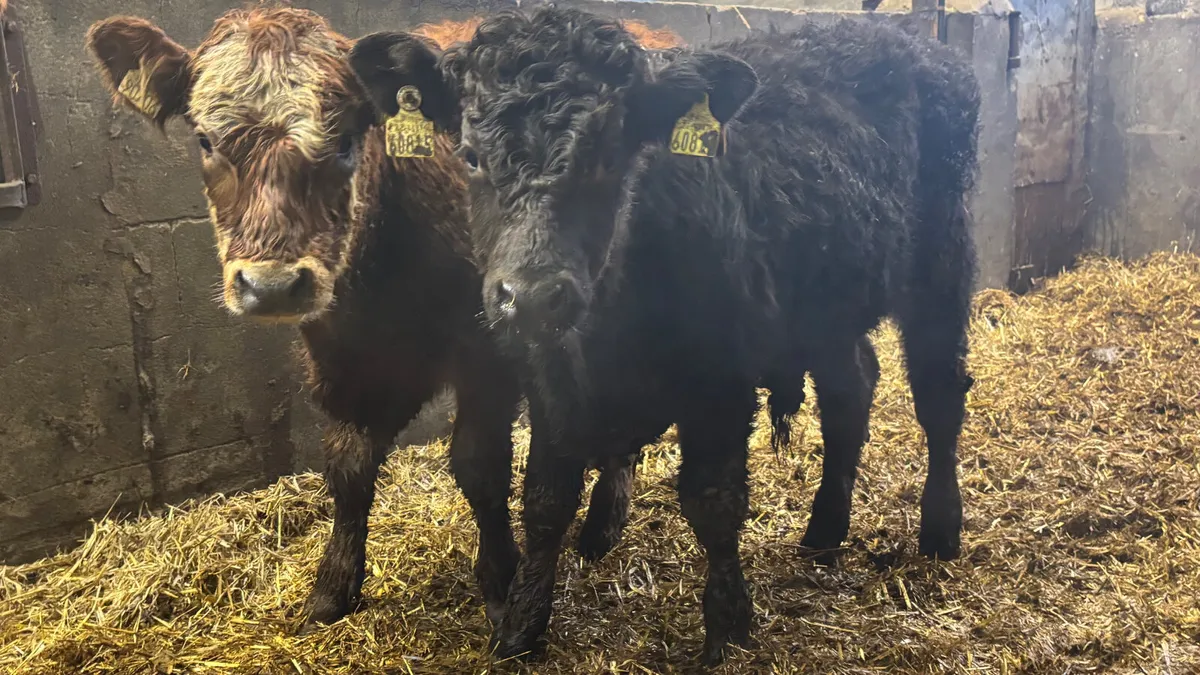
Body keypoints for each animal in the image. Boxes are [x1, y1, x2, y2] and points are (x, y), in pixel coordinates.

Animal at [84, 7, 675, 632]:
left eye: (346, 141)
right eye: (204, 140)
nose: (271, 285)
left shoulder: (488, 356)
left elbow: (479, 467)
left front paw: (500, 581)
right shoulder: (342, 361)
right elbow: (348, 470)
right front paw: (332, 587)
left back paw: (604, 522)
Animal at [349, 6, 979, 664]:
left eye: (610, 154)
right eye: (470, 157)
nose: (533, 294)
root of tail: (915, 41)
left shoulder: (720, 381)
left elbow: (713, 501)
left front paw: (728, 628)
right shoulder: (550, 381)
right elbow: (546, 500)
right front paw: (521, 626)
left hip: (943, 260)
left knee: (938, 395)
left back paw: (940, 529)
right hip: (826, 305)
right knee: (852, 386)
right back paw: (824, 531)